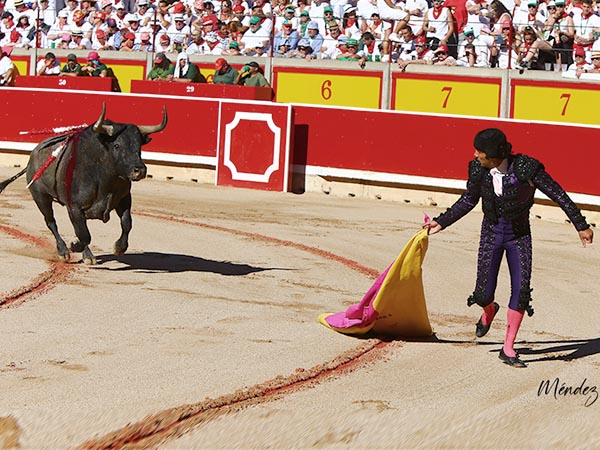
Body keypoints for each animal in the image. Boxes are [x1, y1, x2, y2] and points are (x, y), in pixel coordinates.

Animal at [0, 103, 166, 266]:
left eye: (139, 146)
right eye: (117, 145)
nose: (140, 170)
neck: (106, 179)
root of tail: (32, 157)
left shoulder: (124, 199)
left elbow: (126, 223)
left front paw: (119, 248)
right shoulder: (74, 207)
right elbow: (84, 235)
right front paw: (73, 245)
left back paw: (87, 256)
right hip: (41, 197)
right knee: (52, 222)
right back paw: (64, 252)